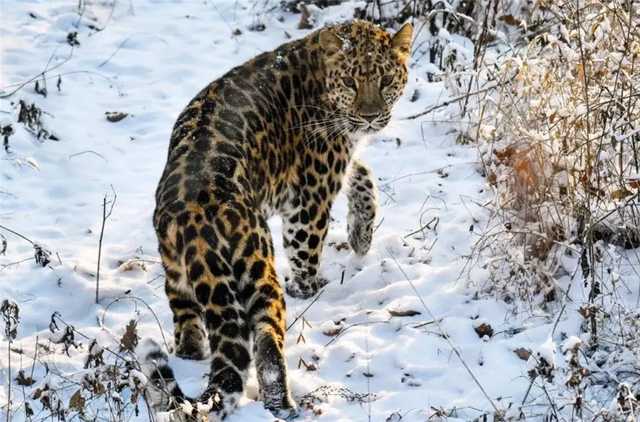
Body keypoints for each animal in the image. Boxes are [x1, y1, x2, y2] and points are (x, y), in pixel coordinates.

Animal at [136, 18, 416, 420]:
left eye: (386, 80)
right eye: (350, 81)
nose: (369, 116)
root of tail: (199, 219)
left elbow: (361, 173)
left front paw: (362, 234)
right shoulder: (309, 199)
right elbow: (306, 252)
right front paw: (311, 290)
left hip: (176, 273)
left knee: (189, 327)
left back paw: (192, 355)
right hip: (259, 272)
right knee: (267, 347)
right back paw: (283, 405)